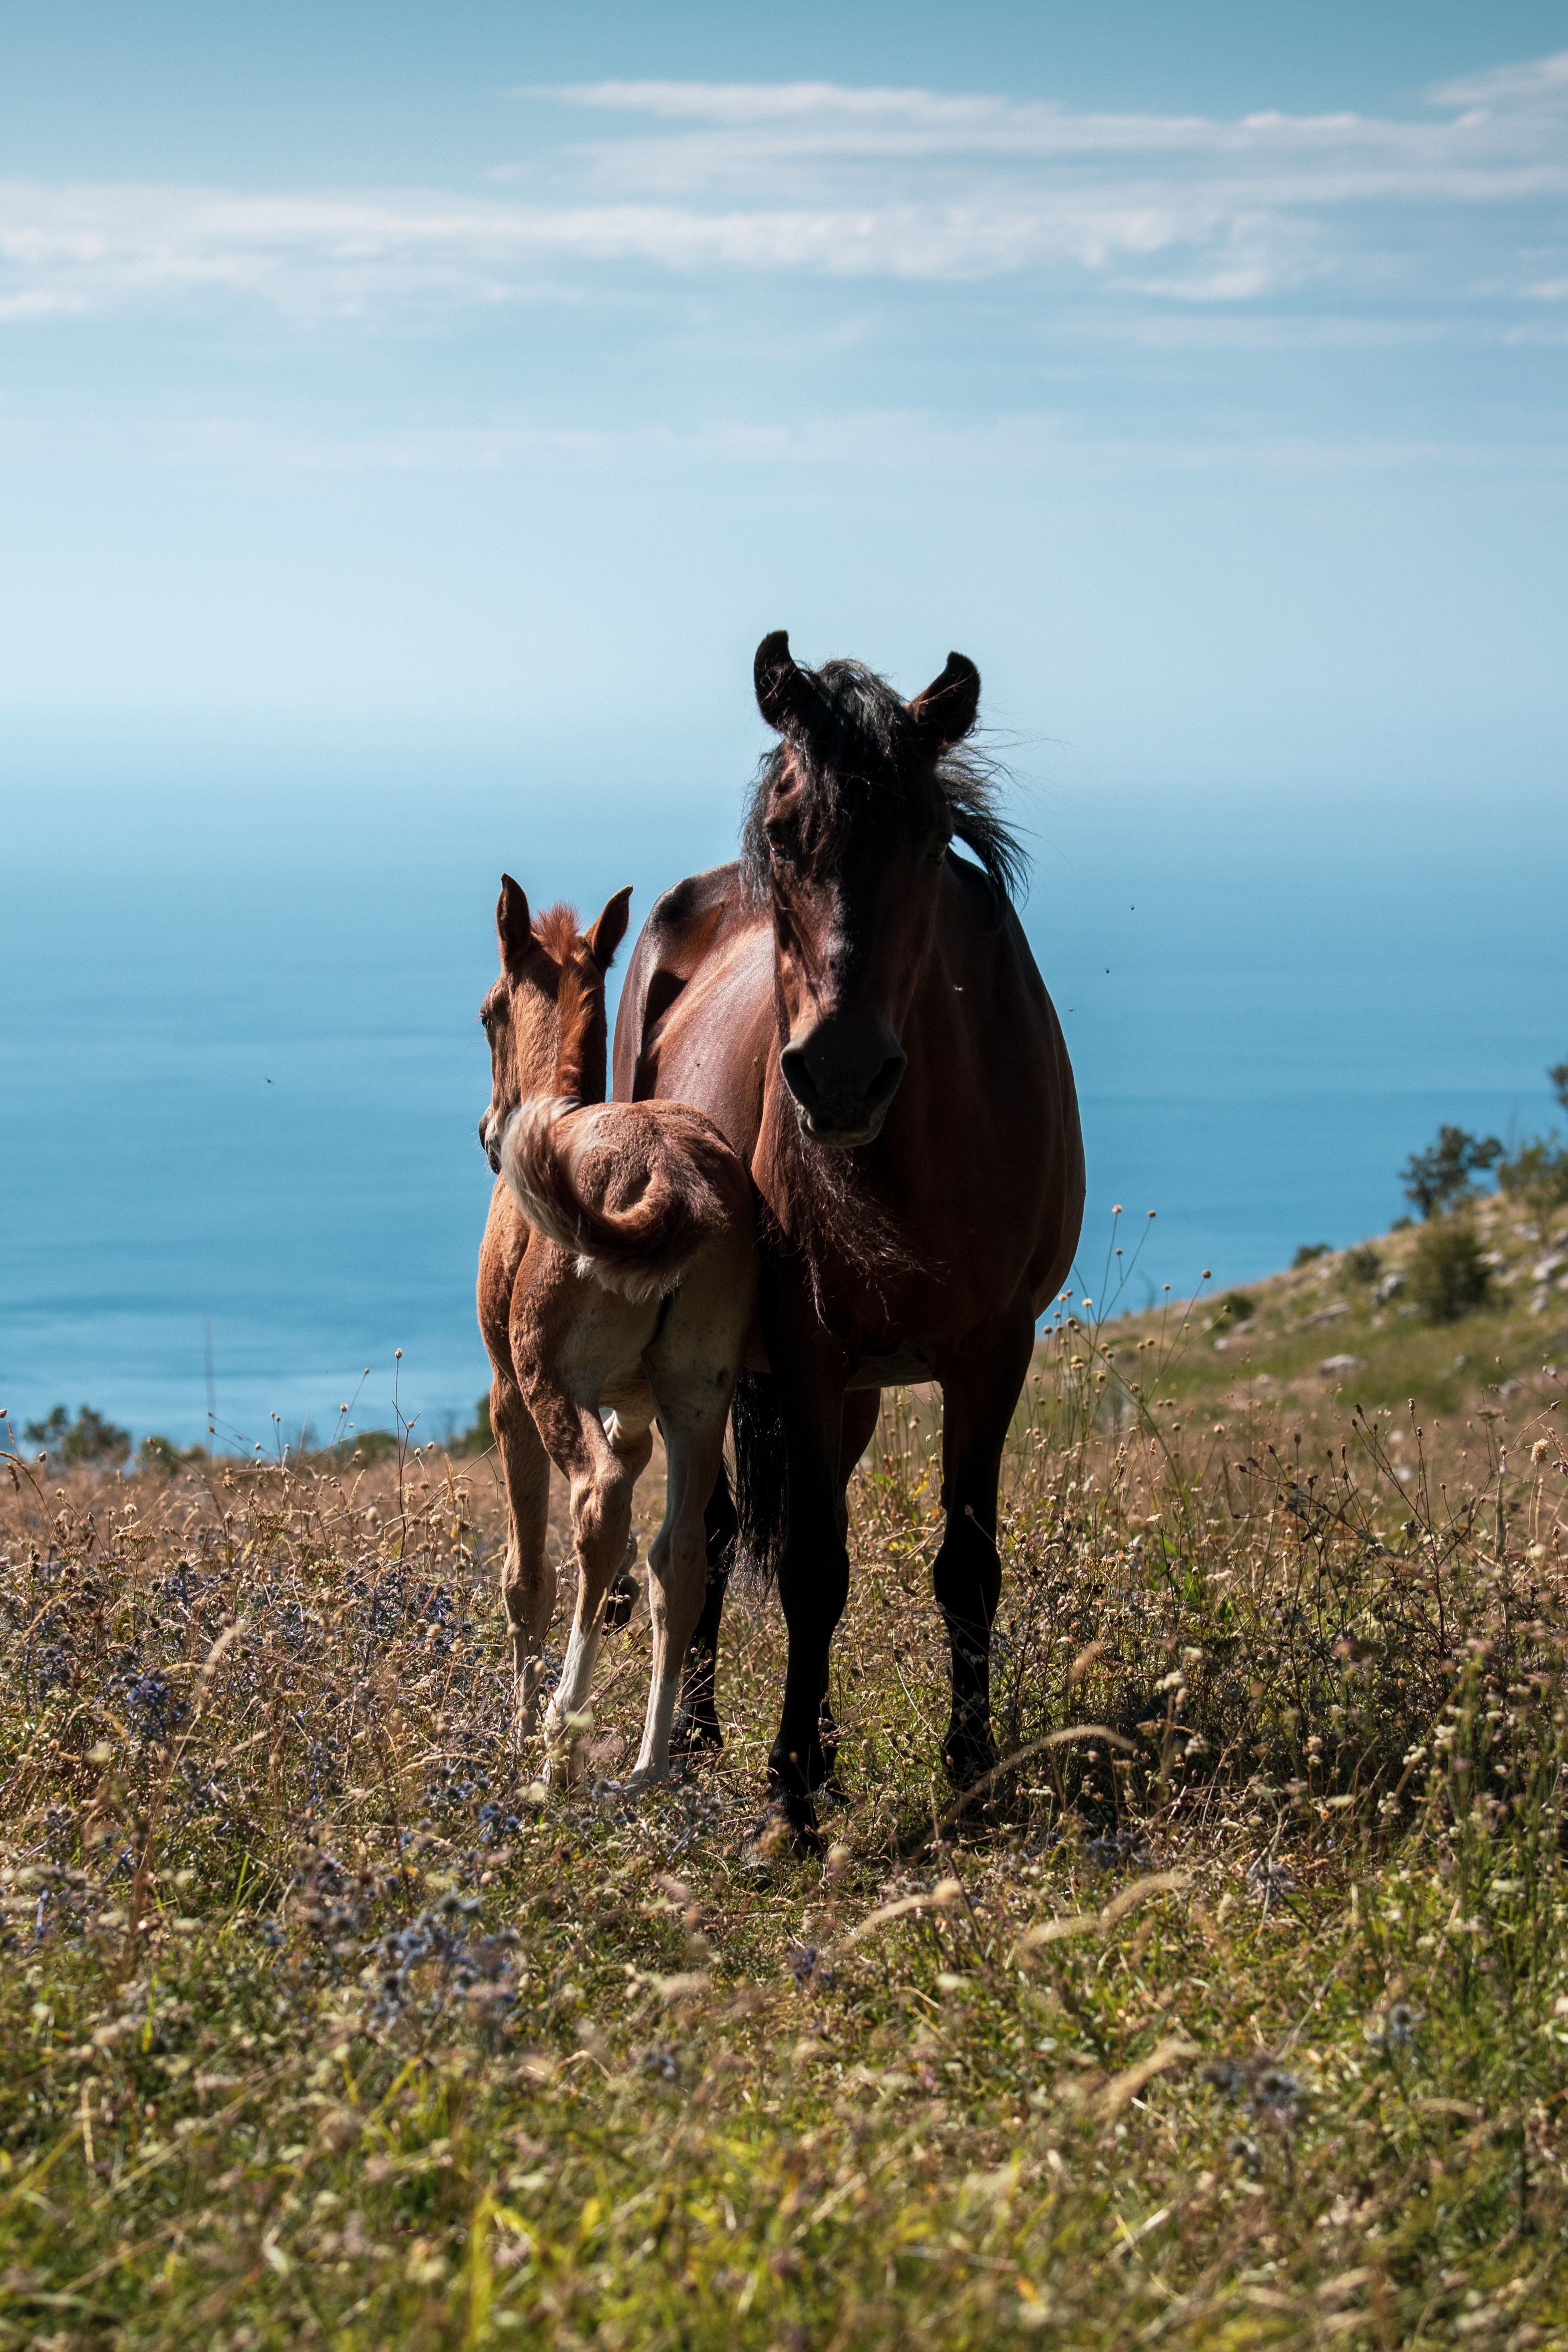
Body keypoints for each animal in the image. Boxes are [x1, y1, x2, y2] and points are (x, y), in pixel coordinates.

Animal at [475, 875, 757, 1786]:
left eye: (487, 1012)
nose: (489, 1132)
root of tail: (666, 1177)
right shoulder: (635, 1409)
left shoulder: (507, 1393)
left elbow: (525, 1574)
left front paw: (515, 1732)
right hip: (700, 1394)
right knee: (685, 1553)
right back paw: (651, 1763)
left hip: (549, 1379)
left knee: (596, 1504)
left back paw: (557, 1745)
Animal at [613, 634, 1085, 1837]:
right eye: (784, 834)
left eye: (926, 835)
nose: (837, 1073)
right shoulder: (809, 1349)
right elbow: (811, 1569)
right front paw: (789, 1793)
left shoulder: (991, 1352)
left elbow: (966, 1566)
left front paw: (971, 1768)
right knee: (719, 1529)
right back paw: (703, 1738)